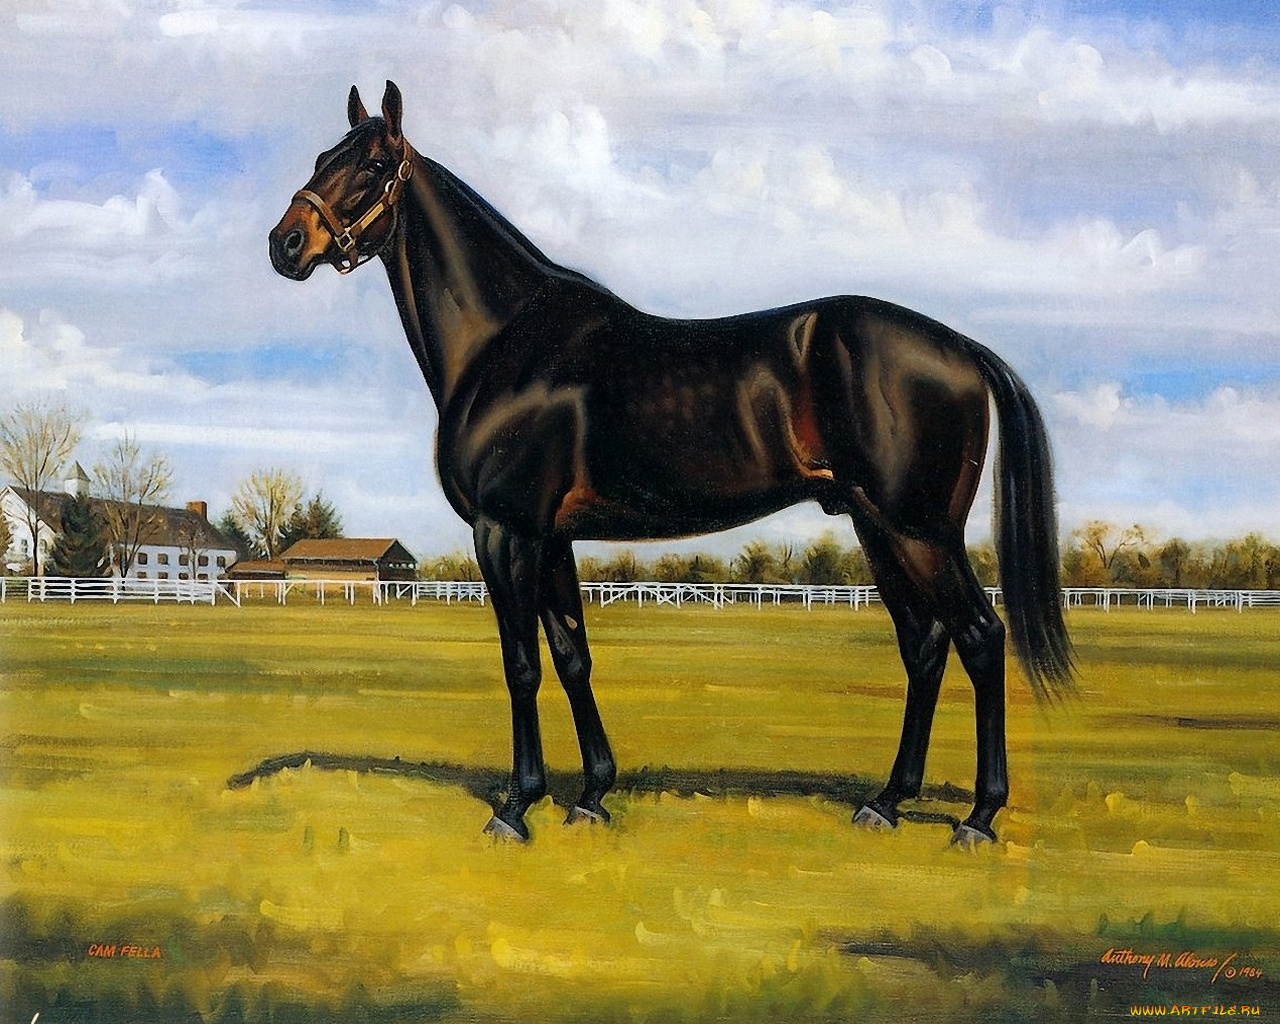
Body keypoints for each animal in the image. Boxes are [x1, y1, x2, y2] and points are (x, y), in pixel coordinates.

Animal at [269, 81, 1072, 845]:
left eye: (373, 166)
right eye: (322, 158)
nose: (286, 243)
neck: (508, 341)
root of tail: (962, 348)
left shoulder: (505, 531)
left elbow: (521, 665)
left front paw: (517, 808)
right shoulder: (551, 536)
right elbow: (572, 656)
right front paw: (592, 796)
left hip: (920, 532)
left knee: (980, 639)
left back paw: (978, 817)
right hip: (879, 529)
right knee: (925, 646)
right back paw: (886, 802)